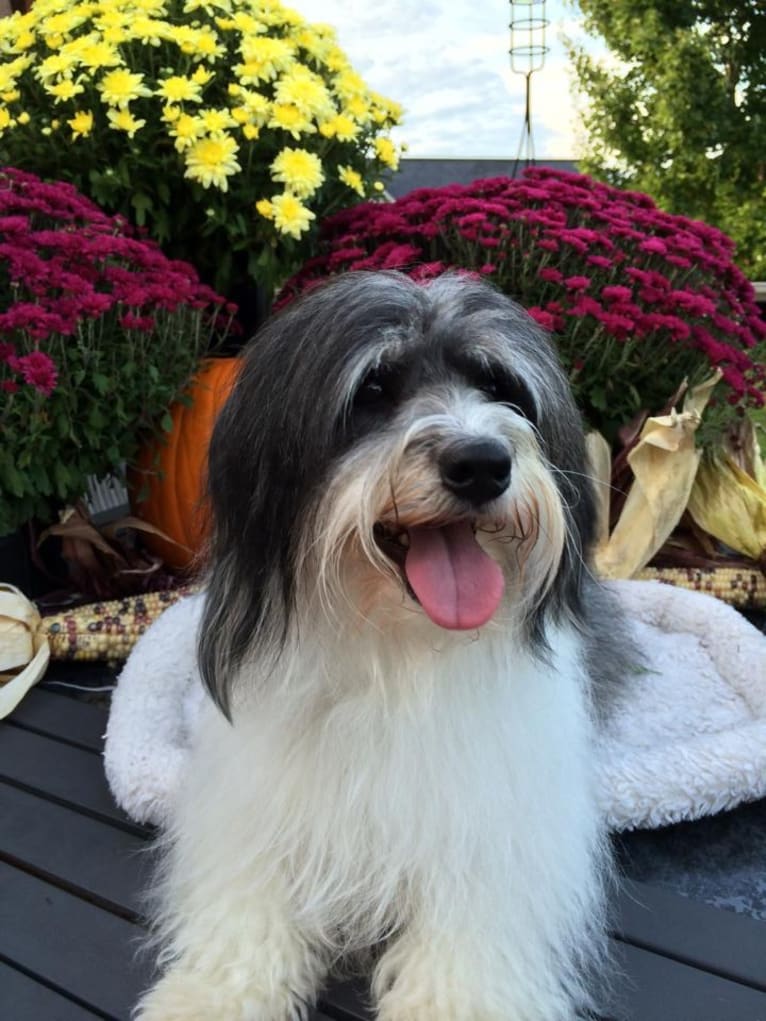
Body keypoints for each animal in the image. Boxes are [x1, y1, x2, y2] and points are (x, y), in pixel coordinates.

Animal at [137, 271, 629, 1021]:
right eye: (372, 389)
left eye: (500, 387)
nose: (482, 462)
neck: (398, 651)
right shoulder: (253, 799)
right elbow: (248, 896)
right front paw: (212, 993)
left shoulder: (496, 820)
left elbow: (471, 917)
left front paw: (456, 1000)